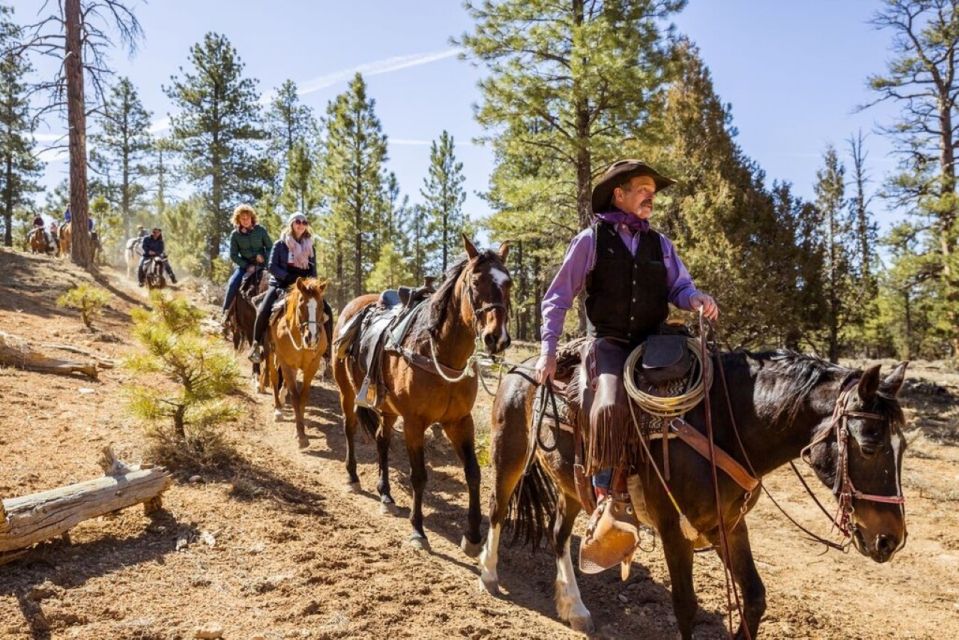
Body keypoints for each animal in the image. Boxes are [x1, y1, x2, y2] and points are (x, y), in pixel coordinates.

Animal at [264, 278, 332, 448]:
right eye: (301, 304)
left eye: (322, 306)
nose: (312, 338)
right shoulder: (286, 363)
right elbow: (295, 396)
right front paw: (301, 436)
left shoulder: (312, 365)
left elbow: (303, 396)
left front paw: (300, 430)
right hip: (272, 352)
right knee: (274, 378)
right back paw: (278, 409)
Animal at [332, 238, 510, 552]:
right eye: (475, 282)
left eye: (509, 283)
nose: (496, 338)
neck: (440, 353)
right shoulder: (415, 423)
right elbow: (419, 476)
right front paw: (417, 530)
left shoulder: (459, 422)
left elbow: (473, 473)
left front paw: (473, 536)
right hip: (347, 391)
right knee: (349, 427)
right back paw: (352, 477)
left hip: (387, 407)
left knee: (382, 439)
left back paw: (386, 495)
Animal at [484, 350, 912, 640]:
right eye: (870, 444)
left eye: (903, 447)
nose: (890, 540)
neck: (721, 424)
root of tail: (522, 367)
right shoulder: (673, 529)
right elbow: (686, 606)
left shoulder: (727, 524)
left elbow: (754, 596)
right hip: (509, 452)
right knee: (497, 509)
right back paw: (488, 575)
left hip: (571, 484)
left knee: (558, 534)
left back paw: (575, 610)